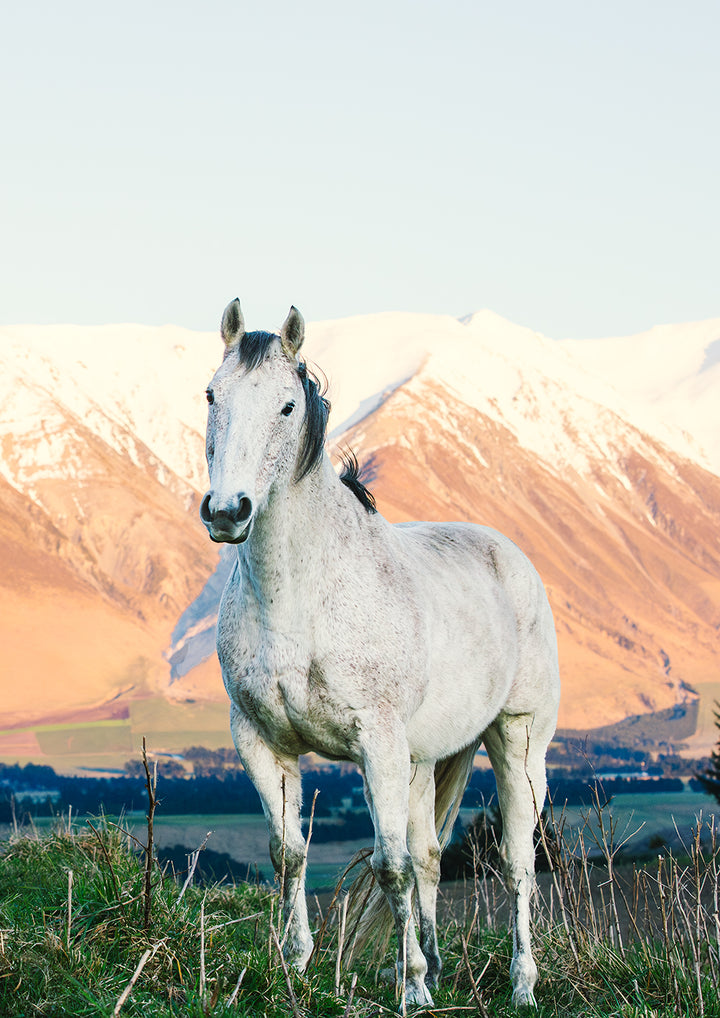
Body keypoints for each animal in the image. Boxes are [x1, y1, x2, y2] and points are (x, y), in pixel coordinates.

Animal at [199, 299, 560, 1008]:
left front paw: (412, 990)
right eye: (211, 396)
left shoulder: (378, 743)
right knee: (430, 855)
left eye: (287, 406)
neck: (300, 599)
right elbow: (291, 852)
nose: (228, 512)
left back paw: (522, 985)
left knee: (516, 861)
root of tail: (512, 555)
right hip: (424, 759)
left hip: (516, 740)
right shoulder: (260, 739)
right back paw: (441, 963)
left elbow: (389, 865)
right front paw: (296, 963)